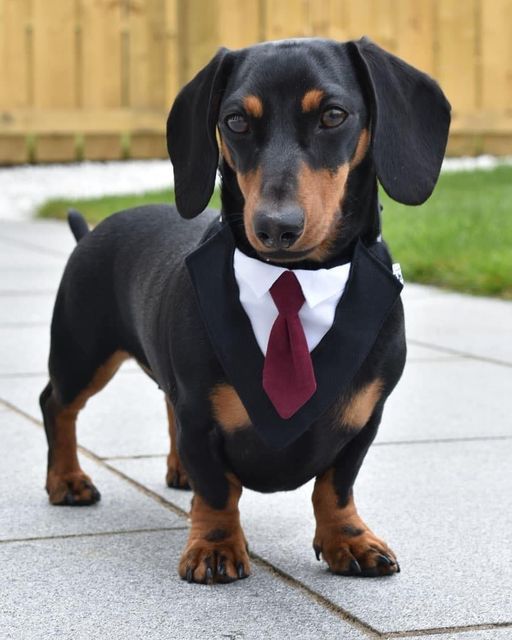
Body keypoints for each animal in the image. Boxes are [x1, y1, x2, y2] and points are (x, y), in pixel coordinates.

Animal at [39, 37, 448, 584]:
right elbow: (217, 489)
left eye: (334, 115)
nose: (276, 227)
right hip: (83, 352)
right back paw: (67, 480)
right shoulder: (200, 411)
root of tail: (92, 231)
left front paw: (348, 539)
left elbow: (336, 485)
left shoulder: (365, 417)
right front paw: (214, 546)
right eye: (235, 120)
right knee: (57, 404)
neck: (295, 276)